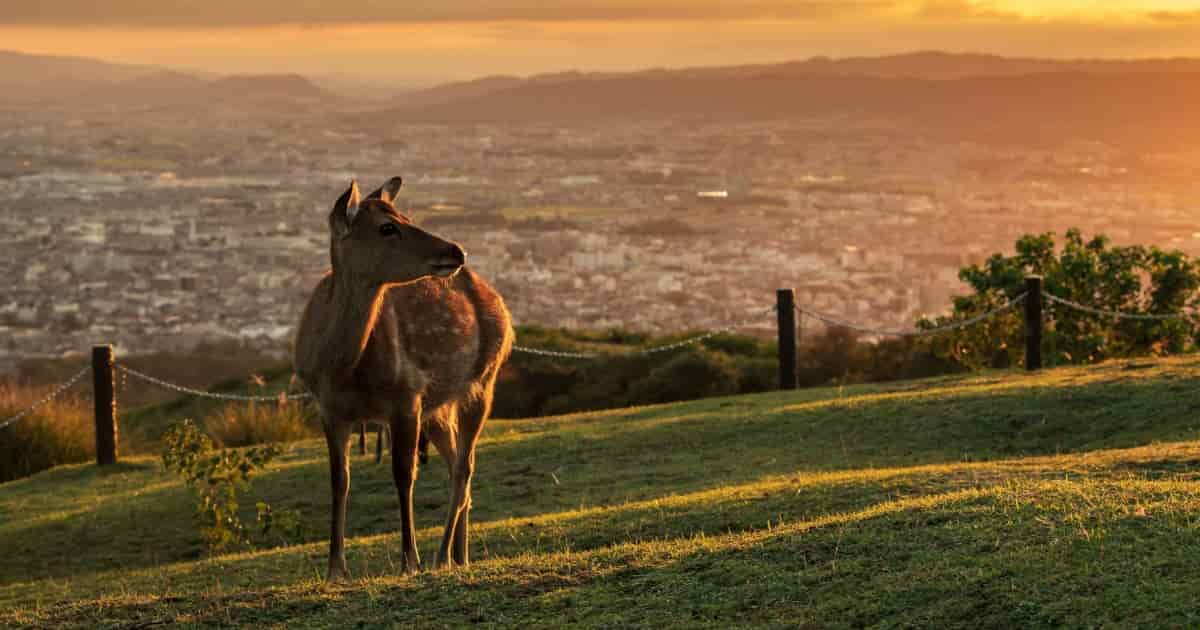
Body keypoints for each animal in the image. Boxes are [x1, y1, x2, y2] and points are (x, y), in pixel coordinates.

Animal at [297, 176, 513, 580]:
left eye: (407, 216)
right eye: (387, 227)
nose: (456, 250)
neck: (344, 369)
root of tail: (499, 302)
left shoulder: (407, 397)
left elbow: (403, 474)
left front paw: (409, 561)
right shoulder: (328, 409)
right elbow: (339, 480)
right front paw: (336, 568)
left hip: (483, 381)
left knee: (463, 469)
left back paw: (441, 556)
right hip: (439, 409)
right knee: (456, 465)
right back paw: (460, 556)